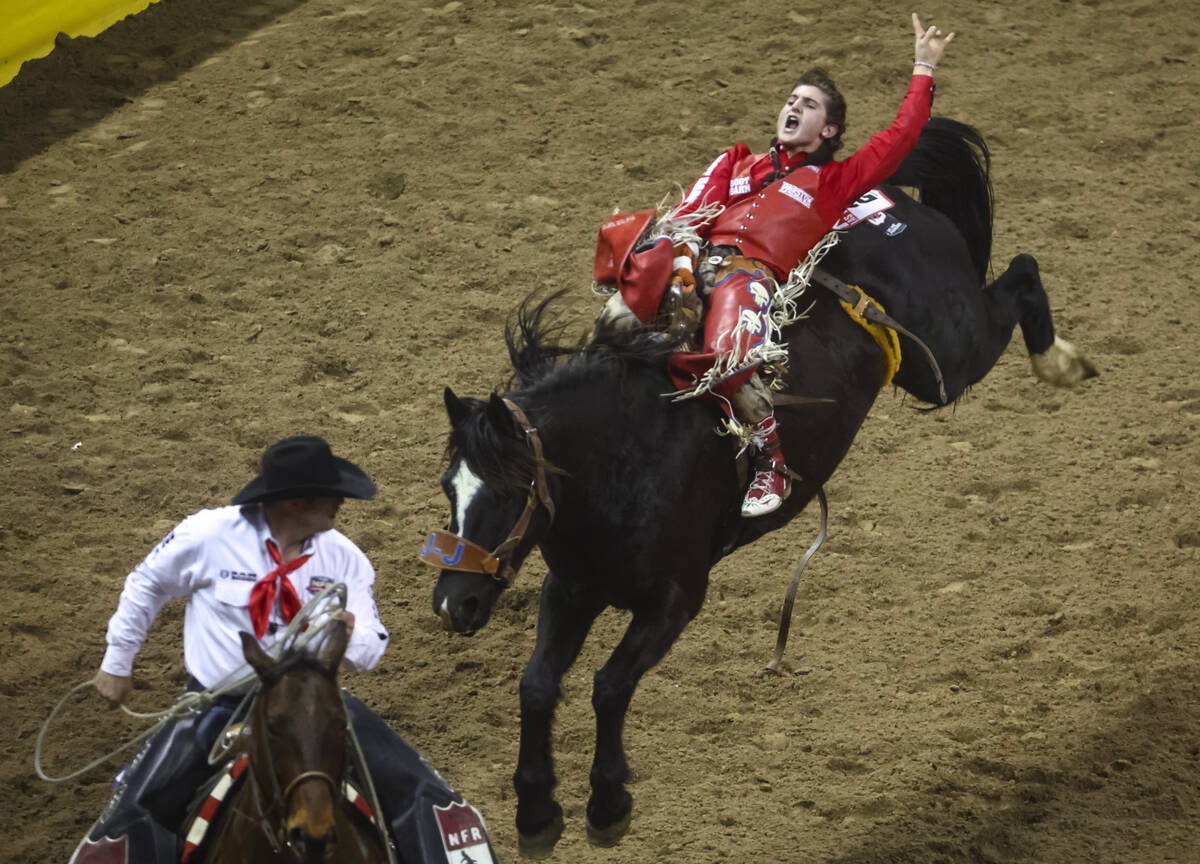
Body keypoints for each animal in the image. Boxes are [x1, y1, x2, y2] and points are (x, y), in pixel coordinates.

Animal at [422, 116, 1099, 859]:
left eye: (509, 491)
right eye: (449, 489)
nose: (454, 603)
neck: (626, 455)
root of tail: (880, 194)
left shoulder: (677, 596)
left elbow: (607, 685)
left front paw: (607, 803)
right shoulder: (572, 588)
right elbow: (538, 685)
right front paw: (537, 811)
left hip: (948, 354)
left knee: (1023, 271)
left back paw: (1061, 361)